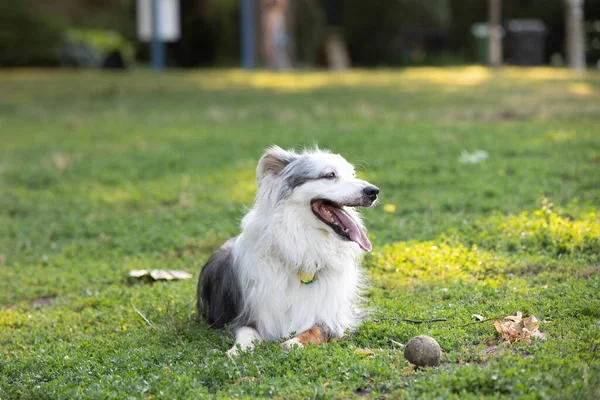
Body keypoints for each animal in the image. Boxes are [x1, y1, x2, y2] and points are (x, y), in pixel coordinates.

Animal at [198, 145, 380, 356]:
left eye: (353, 174)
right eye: (329, 175)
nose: (373, 191)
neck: (304, 249)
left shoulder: (335, 319)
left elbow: (316, 330)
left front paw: (293, 343)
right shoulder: (249, 315)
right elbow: (246, 332)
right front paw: (237, 350)